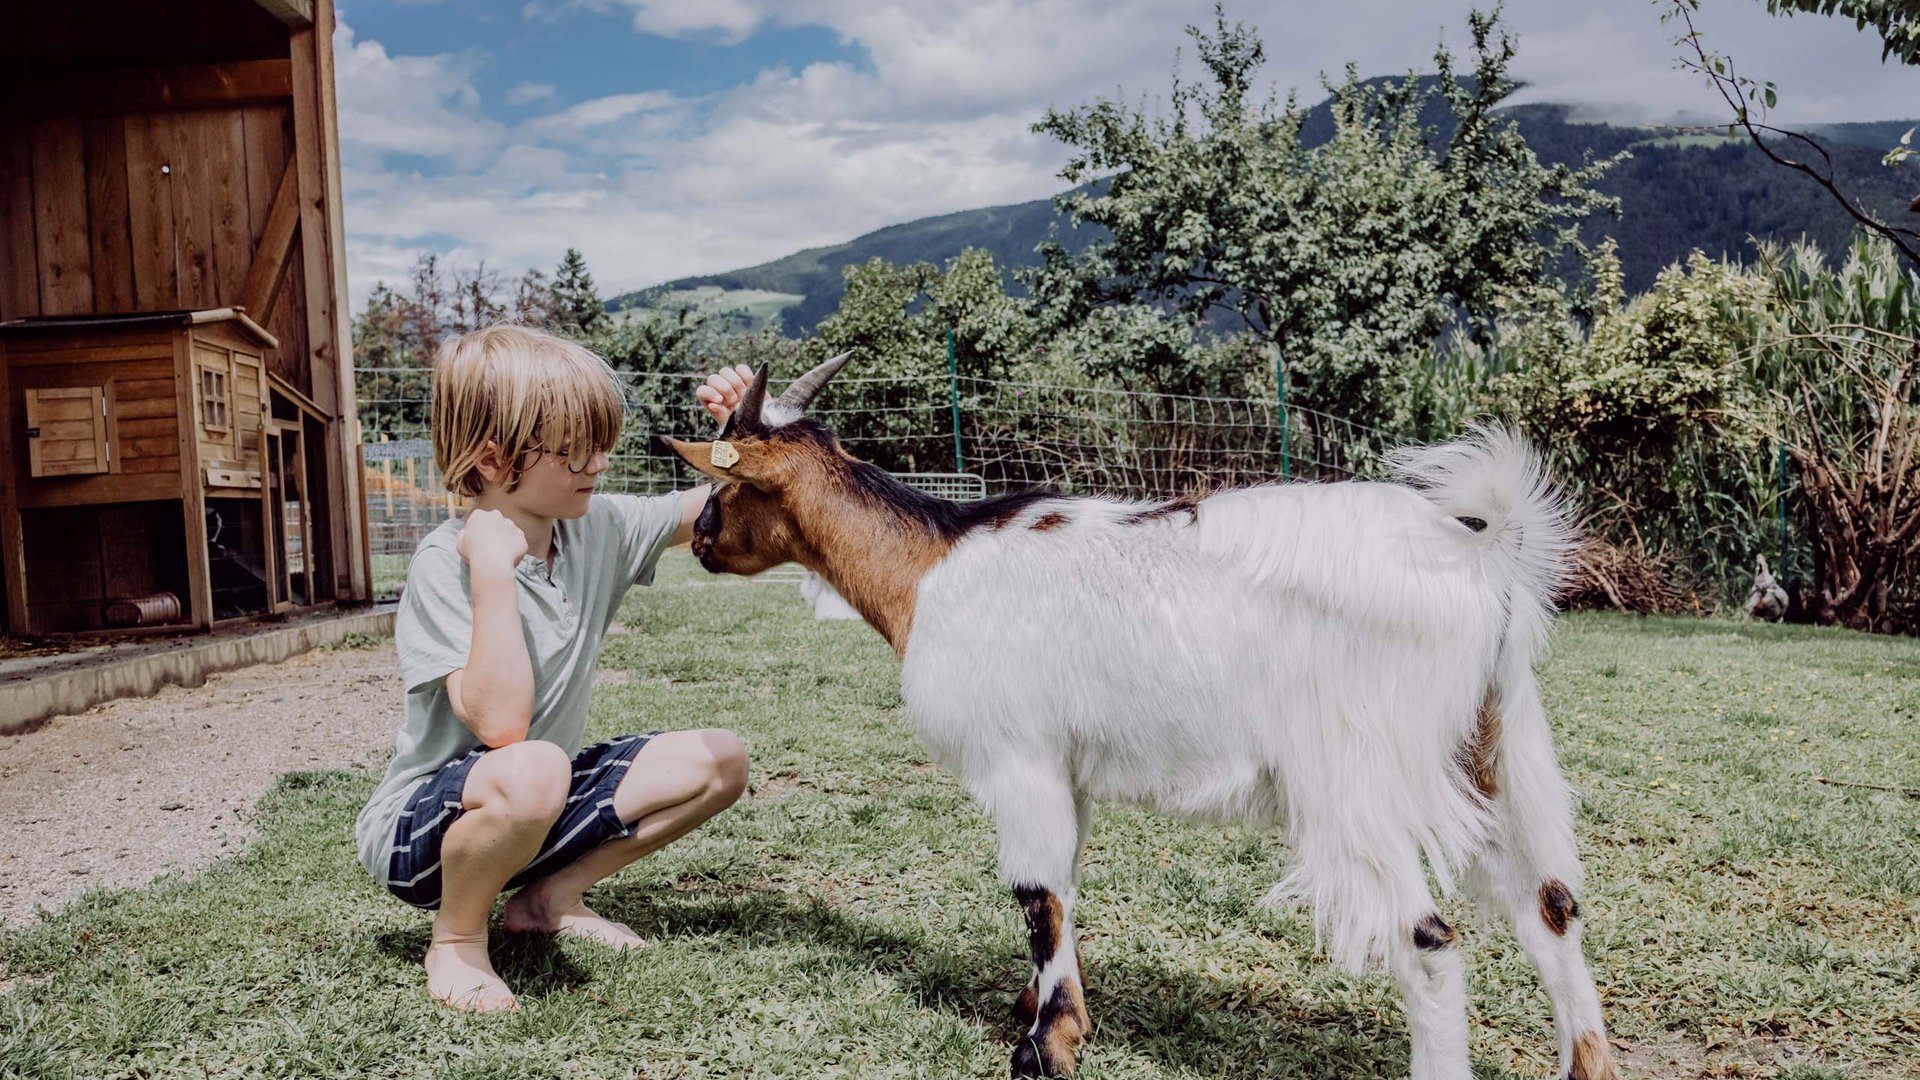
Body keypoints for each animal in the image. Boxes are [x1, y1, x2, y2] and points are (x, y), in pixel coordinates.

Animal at [660, 357, 1620, 1076]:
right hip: (1494, 749)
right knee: (1551, 905)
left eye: (721, 487)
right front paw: (1040, 1007)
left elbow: (1037, 894)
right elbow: (1064, 887)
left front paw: (1046, 1046)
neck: (932, 565)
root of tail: (1484, 559)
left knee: (1428, 937)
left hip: (1362, 775)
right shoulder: (1065, 768)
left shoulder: (1018, 757)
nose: (698, 540)